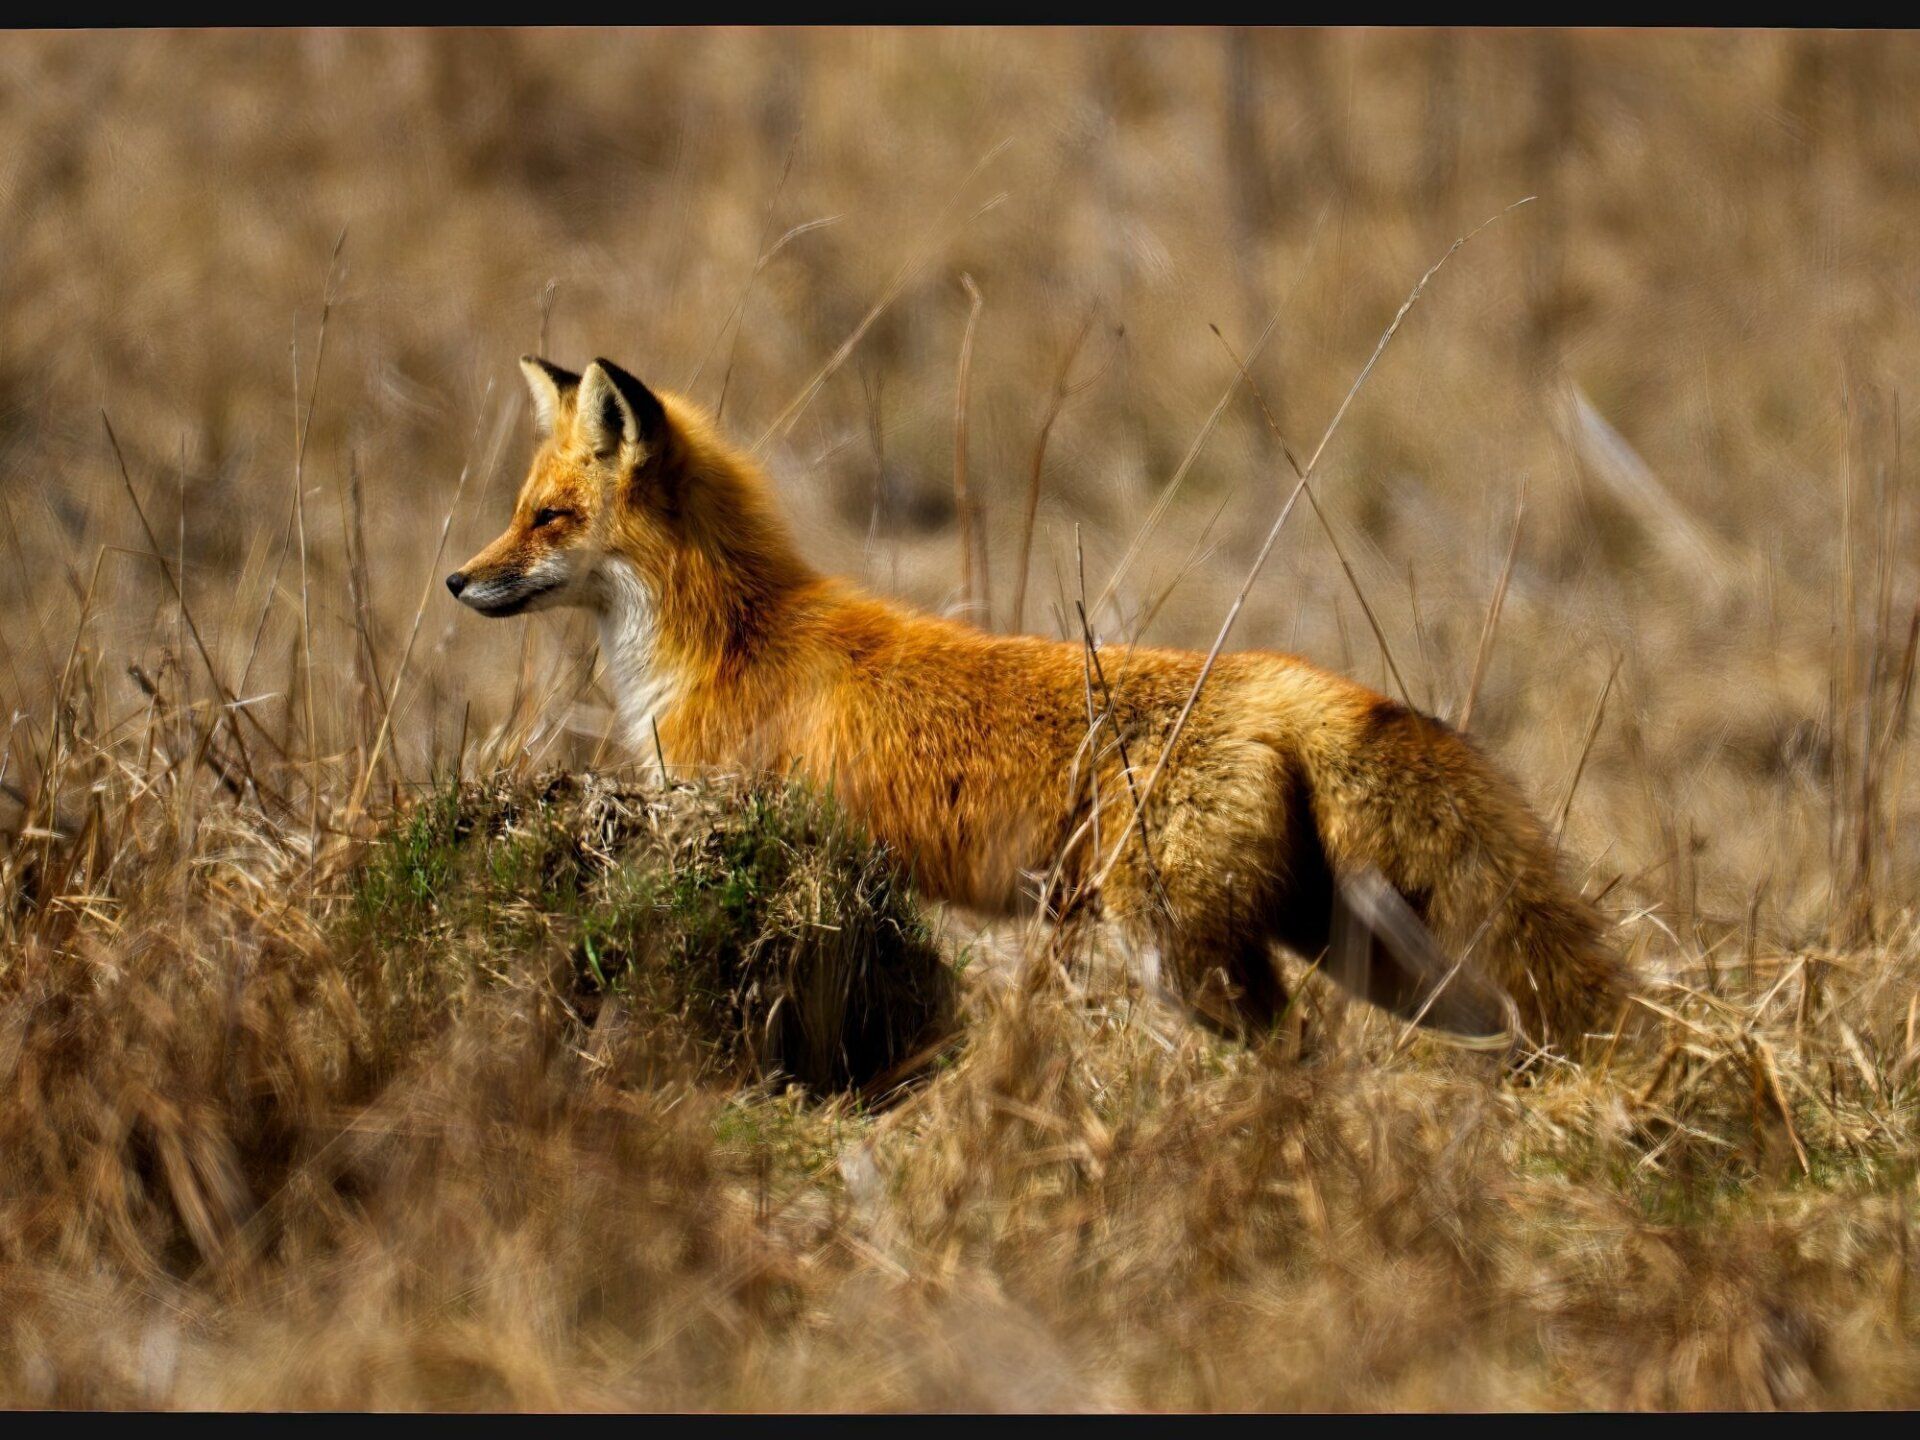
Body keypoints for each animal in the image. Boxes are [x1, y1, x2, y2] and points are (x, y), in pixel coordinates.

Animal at [445, 357, 1620, 1052]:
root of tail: (1287, 680)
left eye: (548, 519)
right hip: (1373, 955)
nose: (457, 580)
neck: (727, 636)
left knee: (1299, 1056)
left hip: (1179, 953)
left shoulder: (744, 820)